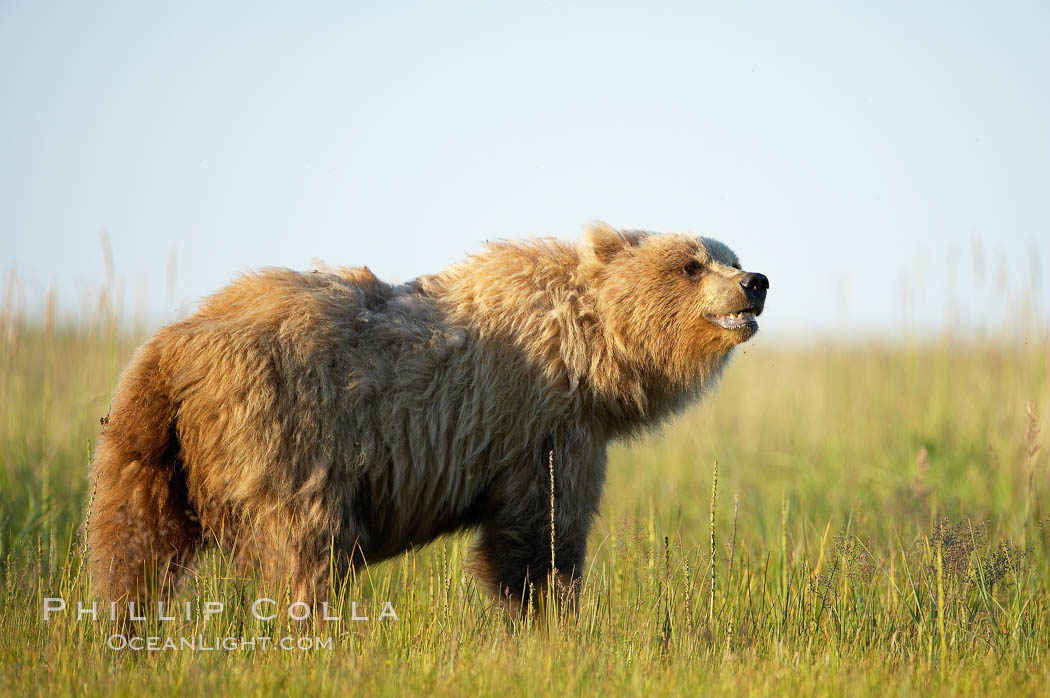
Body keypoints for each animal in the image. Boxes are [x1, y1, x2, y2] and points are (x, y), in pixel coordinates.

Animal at [86, 223, 768, 608]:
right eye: (691, 263)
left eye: (730, 253)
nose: (755, 281)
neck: (591, 352)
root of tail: (173, 351)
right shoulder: (540, 421)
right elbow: (541, 535)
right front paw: (550, 616)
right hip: (281, 427)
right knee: (304, 545)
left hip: (142, 442)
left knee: (131, 548)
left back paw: (123, 631)